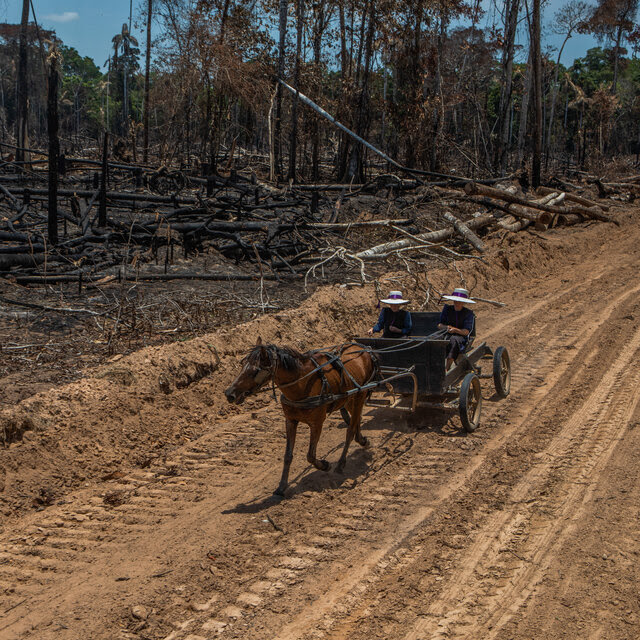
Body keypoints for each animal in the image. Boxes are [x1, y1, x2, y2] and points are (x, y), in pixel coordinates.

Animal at [225, 338, 378, 498]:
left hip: (361, 394)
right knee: (356, 419)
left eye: (255, 370)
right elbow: (288, 456)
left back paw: (342, 463)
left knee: (350, 429)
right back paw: (362, 440)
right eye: (242, 364)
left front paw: (325, 465)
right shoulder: (290, 421)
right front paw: (282, 486)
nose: (229, 393)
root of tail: (363, 347)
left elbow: (310, 455)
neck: (302, 384)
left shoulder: (317, 423)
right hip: (349, 398)